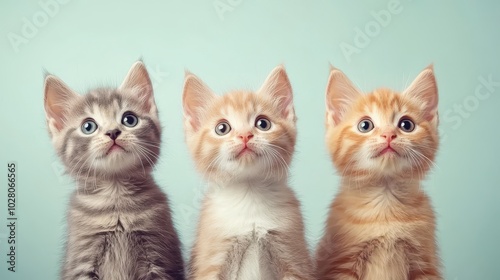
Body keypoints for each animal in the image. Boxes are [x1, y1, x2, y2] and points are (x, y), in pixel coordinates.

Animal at [44, 61, 185, 280]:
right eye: (88, 126)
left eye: (129, 119)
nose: (112, 132)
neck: (116, 196)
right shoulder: (82, 258)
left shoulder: (161, 257)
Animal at [182, 66, 314, 280]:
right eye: (222, 128)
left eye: (263, 123)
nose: (244, 135)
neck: (249, 194)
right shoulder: (212, 260)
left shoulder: (293, 253)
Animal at [316, 66, 442, 280]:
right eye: (365, 125)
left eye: (406, 124)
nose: (389, 134)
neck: (385, 203)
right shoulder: (341, 263)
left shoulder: (425, 262)